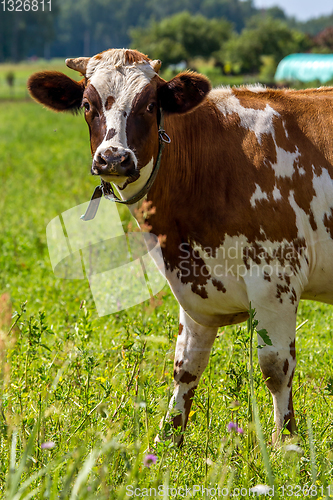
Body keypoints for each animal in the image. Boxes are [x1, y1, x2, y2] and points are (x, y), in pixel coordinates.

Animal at [27, 47, 332, 446]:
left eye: (149, 104)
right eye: (88, 104)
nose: (113, 158)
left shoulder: (276, 280)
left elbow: (275, 368)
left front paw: (285, 446)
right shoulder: (193, 286)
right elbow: (186, 366)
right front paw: (167, 442)